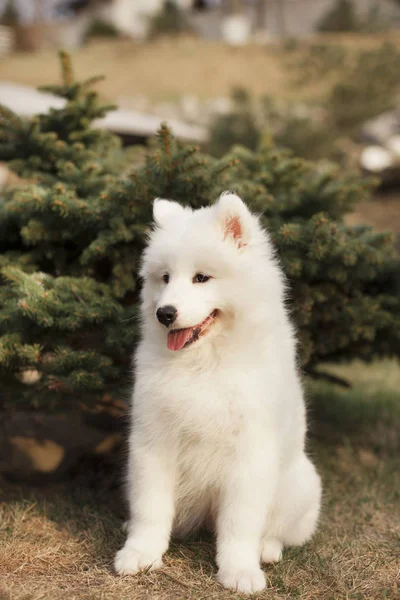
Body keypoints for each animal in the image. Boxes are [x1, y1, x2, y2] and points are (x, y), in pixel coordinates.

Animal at [114, 193, 320, 596]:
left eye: (201, 278)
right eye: (165, 278)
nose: (164, 313)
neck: (204, 362)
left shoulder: (250, 453)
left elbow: (240, 524)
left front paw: (240, 571)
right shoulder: (153, 441)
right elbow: (150, 508)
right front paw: (141, 553)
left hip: (301, 486)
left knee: (279, 531)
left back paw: (267, 551)